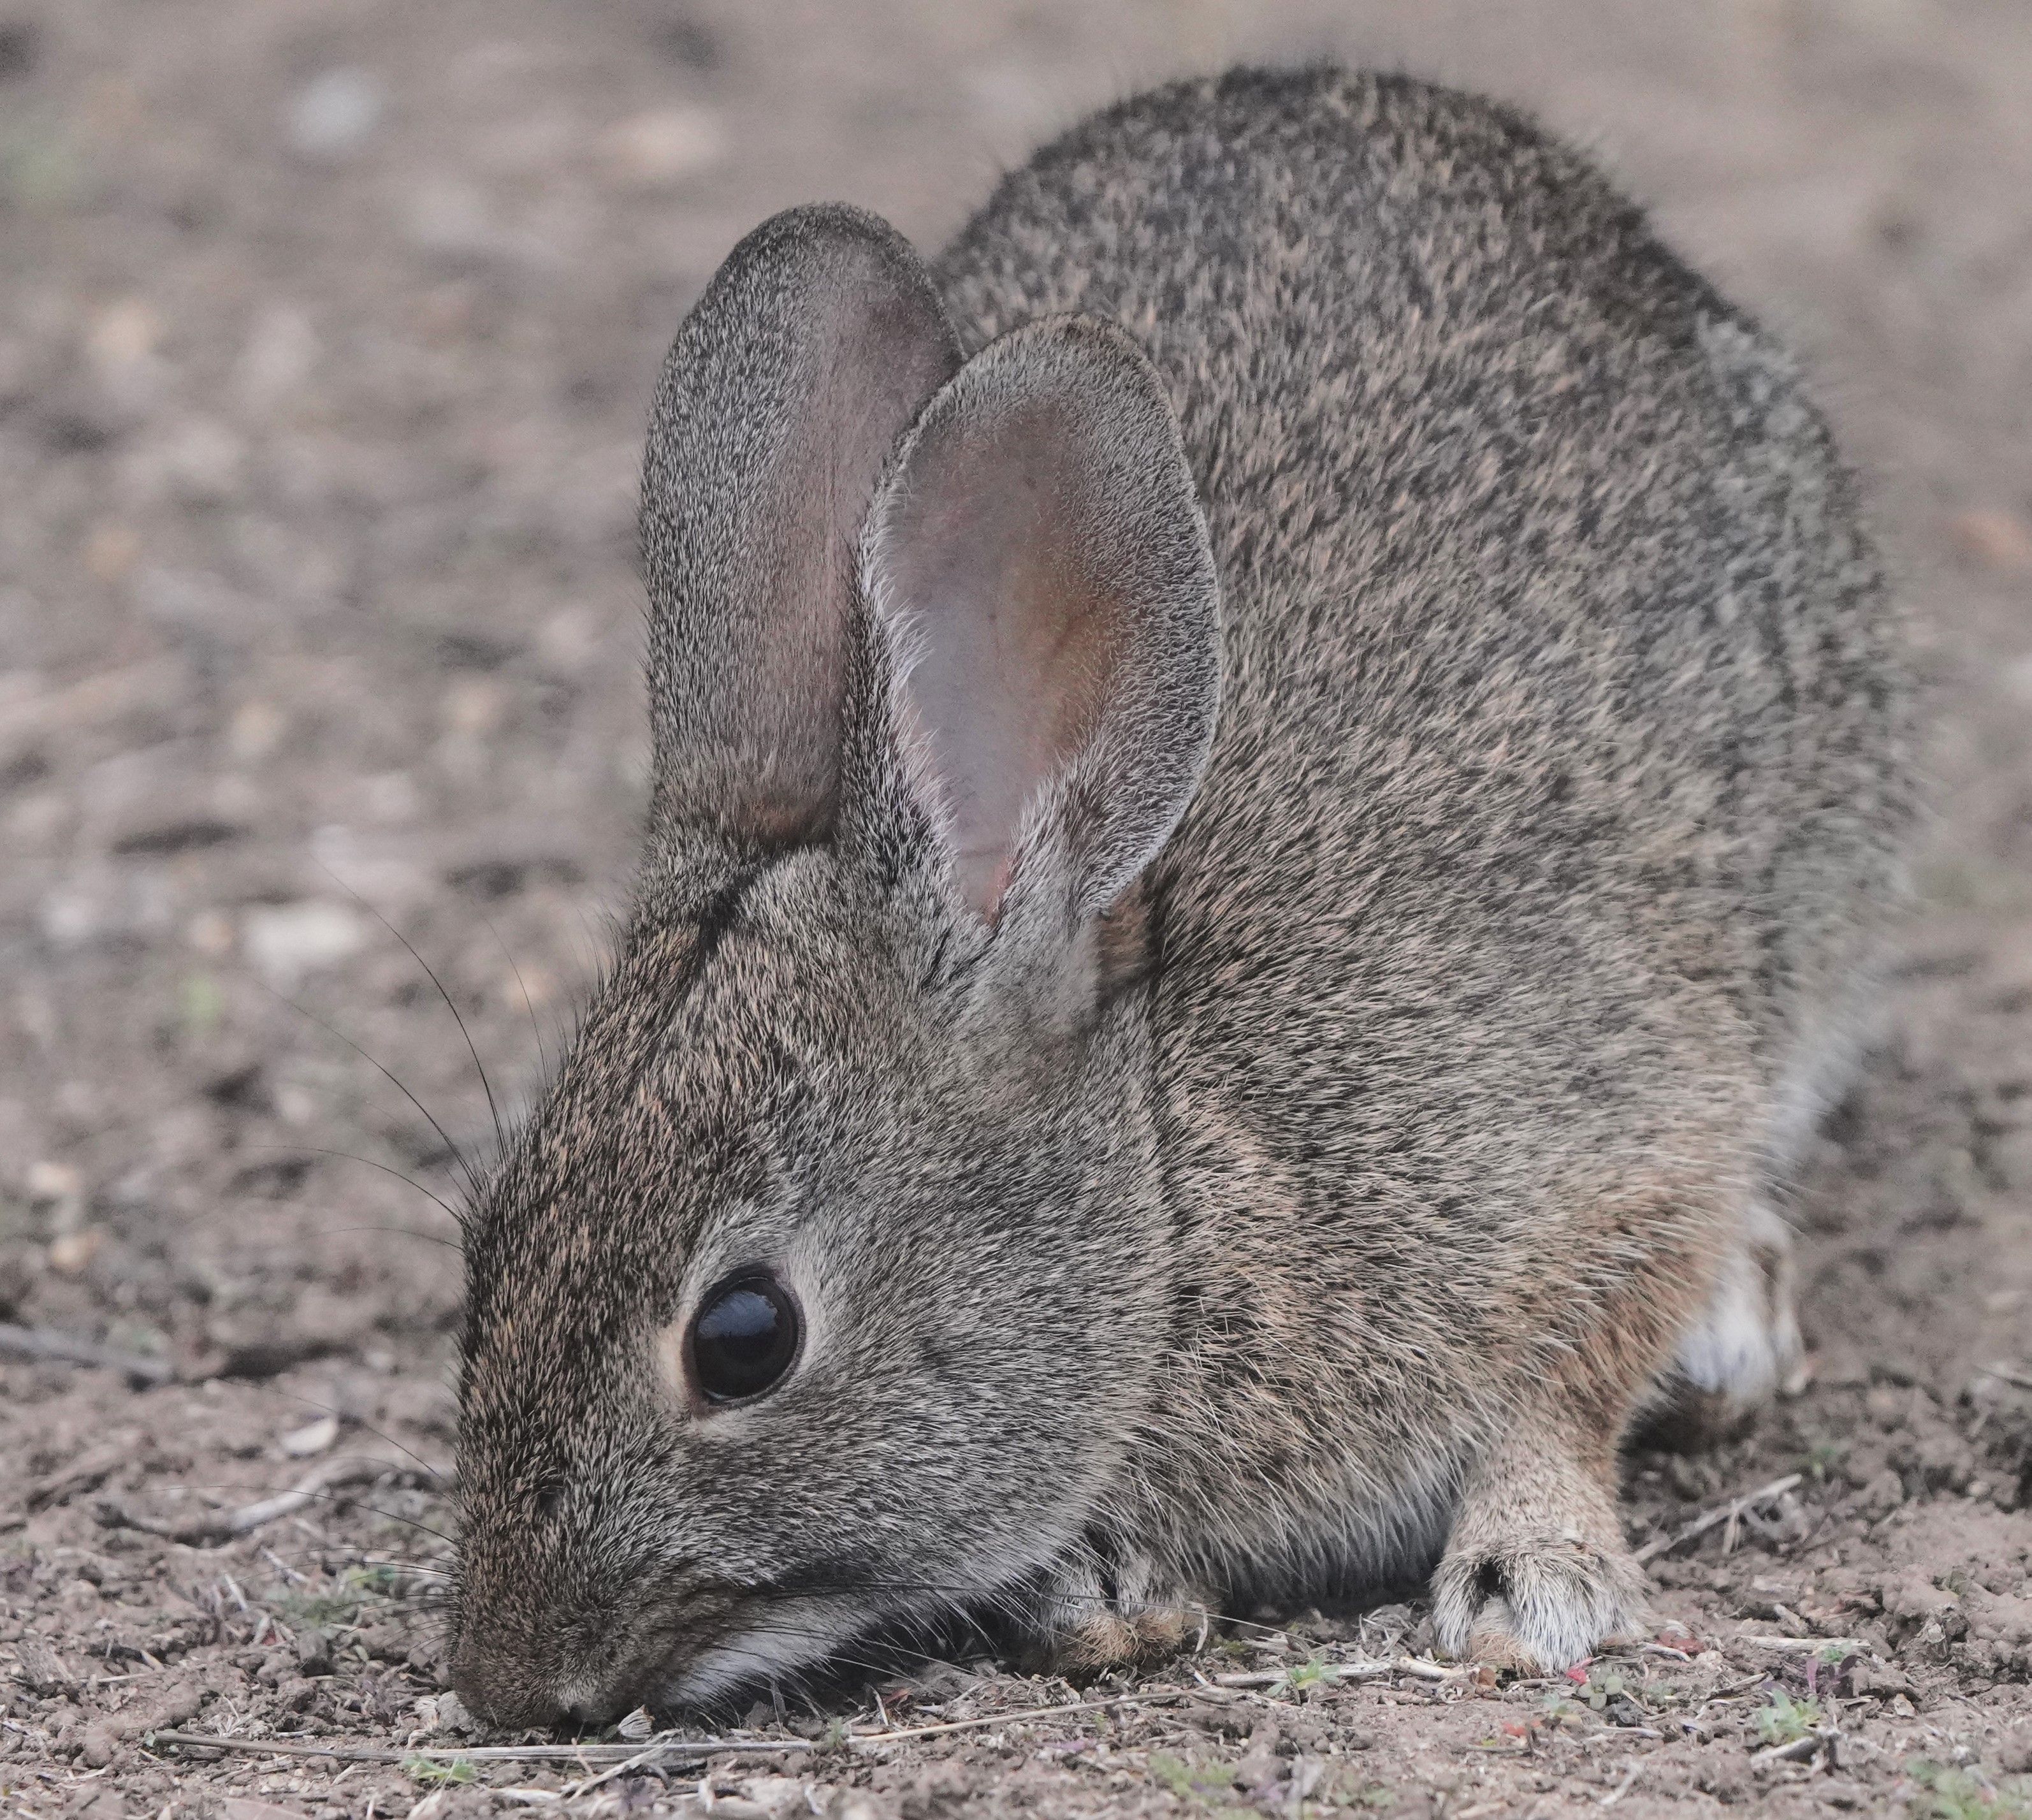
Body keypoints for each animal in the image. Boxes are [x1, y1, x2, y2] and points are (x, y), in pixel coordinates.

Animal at [447, 66, 1913, 1726]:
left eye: (743, 1336)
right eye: (484, 1246)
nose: (505, 1673)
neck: (1165, 1199)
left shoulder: (1600, 1138)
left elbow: (1574, 1368)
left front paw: (1534, 1574)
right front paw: (1104, 1583)